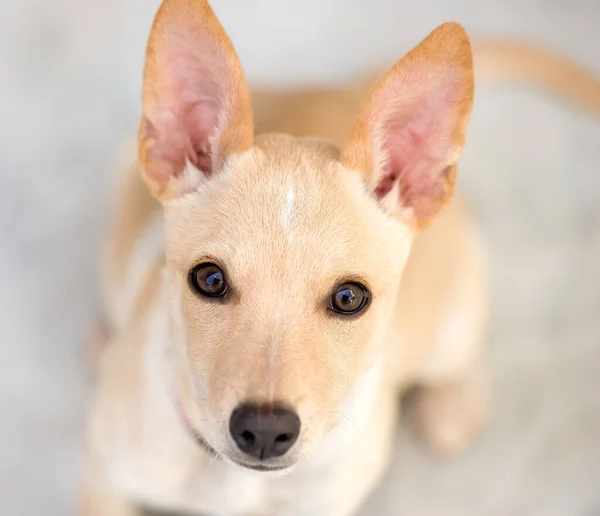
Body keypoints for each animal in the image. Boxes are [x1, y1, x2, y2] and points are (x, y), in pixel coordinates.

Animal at [82, 2, 600, 512]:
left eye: (349, 298)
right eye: (209, 280)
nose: (265, 431)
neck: (240, 484)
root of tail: (341, 88)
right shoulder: (104, 478)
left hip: (455, 311)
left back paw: (454, 406)